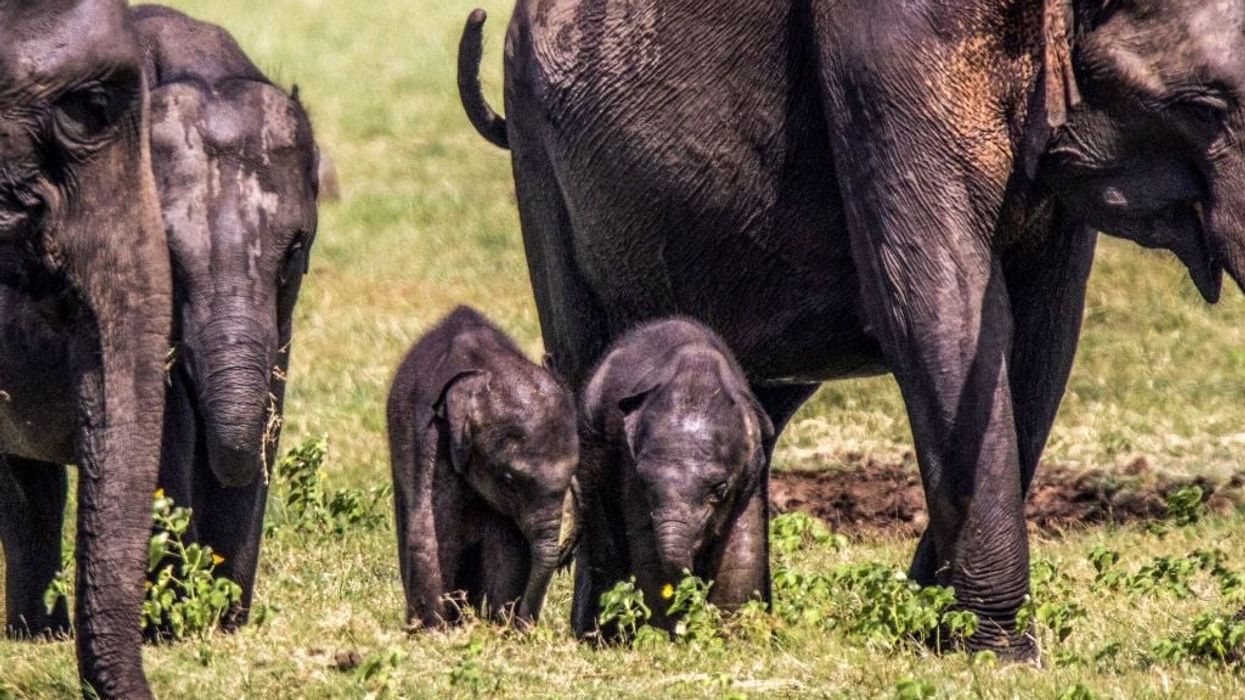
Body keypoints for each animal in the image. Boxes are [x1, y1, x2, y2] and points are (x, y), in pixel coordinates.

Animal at [387, 306, 578, 629]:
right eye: (509, 479)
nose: (525, 627)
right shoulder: (436, 437)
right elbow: (432, 531)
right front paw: (433, 631)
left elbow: (509, 543)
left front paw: (498, 624)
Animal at [572, 318, 773, 638]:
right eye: (645, 483)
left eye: (719, 489)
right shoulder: (629, 466)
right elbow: (648, 551)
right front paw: (673, 637)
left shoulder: (751, 469)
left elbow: (742, 545)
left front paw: (730, 637)